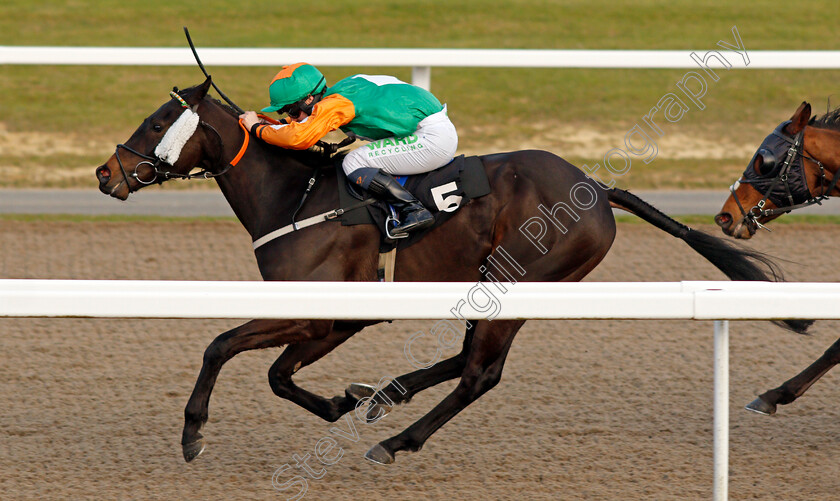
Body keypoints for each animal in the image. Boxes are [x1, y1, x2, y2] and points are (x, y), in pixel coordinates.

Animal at [95, 78, 804, 464]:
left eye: (156, 121)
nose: (106, 173)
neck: (296, 196)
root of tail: (598, 190)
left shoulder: (322, 314)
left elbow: (224, 347)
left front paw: (193, 433)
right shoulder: (334, 320)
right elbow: (275, 374)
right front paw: (339, 402)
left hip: (522, 283)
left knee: (480, 374)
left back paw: (395, 438)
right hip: (494, 284)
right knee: (466, 359)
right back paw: (384, 396)